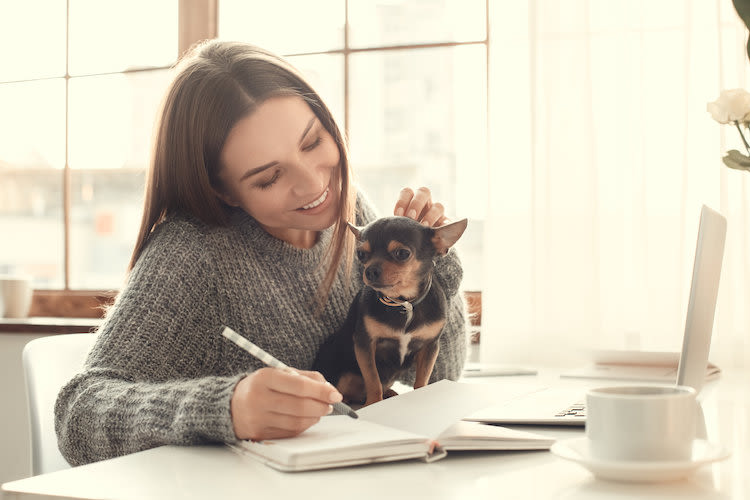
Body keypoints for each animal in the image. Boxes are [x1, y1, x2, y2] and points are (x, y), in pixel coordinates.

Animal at [312, 216, 468, 406]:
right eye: (361, 254)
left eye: (402, 253)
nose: (370, 270)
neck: (404, 304)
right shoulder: (365, 345)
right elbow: (373, 380)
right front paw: (374, 403)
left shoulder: (430, 347)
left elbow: (422, 380)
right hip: (341, 372)